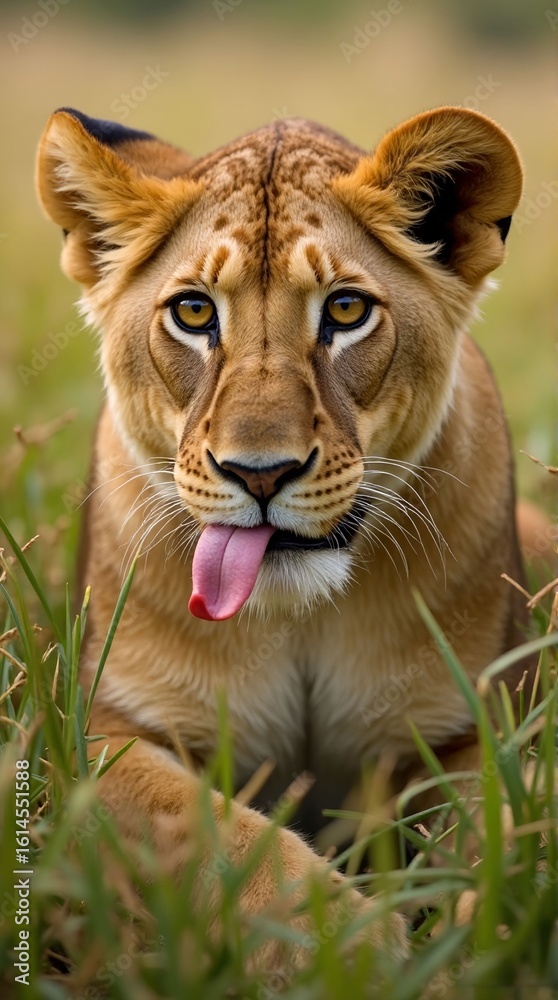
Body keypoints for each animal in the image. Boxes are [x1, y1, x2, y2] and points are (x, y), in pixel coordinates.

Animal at [36, 105, 533, 972]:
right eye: (194, 313)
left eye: (345, 311)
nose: (259, 473)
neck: (297, 614)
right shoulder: (98, 733)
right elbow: (216, 834)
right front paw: (352, 944)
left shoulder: (469, 726)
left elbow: (503, 822)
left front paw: (488, 930)